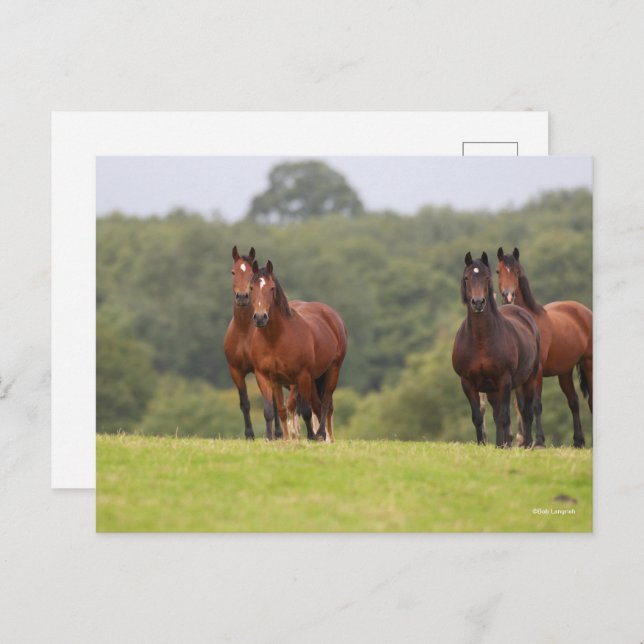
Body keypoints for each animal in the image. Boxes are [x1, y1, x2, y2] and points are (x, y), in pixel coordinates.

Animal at [249, 260, 348, 442]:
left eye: (271, 288)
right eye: (251, 288)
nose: (260, 317)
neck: (275, 339)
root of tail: (331, 314)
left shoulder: (302, 376)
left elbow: (306, 410)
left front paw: (310, 436)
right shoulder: (267, 377)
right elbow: (274, 410)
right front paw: (275, 438)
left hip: (332, 370)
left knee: (325, 402)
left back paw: (322, 434)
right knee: (317, 404)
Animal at [452, 252, 542, 448]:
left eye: (487, 277)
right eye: (467, 278)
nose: (478, 303)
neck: (480, 341)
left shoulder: (504, 381)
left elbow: (504, 417)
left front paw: (502, 446)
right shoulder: (467, 383)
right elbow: (478, 417)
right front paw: (484, 445)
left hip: (529, 379)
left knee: (527, 412)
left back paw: (527, 444)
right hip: (492, 390)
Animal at [496, 247, 593, 447]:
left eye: (516, 271)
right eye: (497, 271)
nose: (508, 296)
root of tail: (585, 311)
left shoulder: (537, 372)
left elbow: (536, 405)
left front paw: (539, 441)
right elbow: (522, 406)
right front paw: (524, 441)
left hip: (588, 364)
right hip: (565, 372)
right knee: (573, 401)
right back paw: (578, 441)